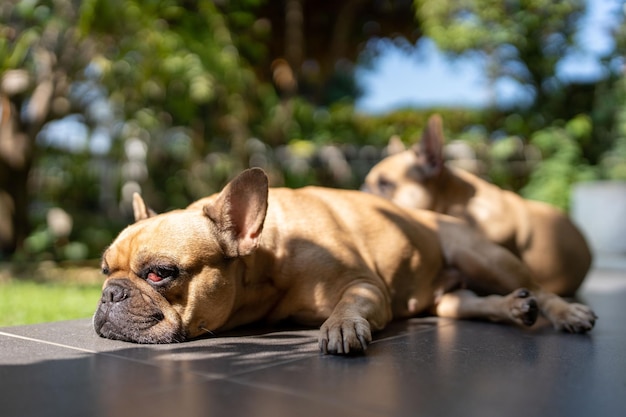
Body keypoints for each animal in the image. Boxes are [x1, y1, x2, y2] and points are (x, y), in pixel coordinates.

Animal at [94, 167, 596, 352]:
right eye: (103, 271)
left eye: (159, 274)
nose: (109, 294)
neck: (268, 262)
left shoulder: (364, 284)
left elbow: (348, 304)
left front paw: (340, 326)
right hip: (449, 298)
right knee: (474, 304)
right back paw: (513, 306)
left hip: (484, 256)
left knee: (544, 291)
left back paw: (566, 313)